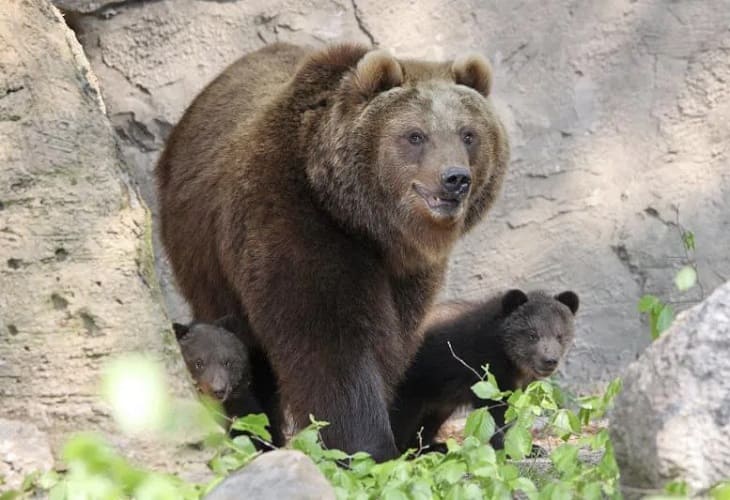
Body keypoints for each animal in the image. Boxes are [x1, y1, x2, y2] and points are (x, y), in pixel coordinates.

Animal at [155, 43, 506, 460]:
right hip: (203, 251)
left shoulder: (409, 273)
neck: (368, 224)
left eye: (468, 134)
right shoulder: (295, 221)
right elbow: (330, 340)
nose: (455, 178)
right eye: (415, 135)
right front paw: (366, 444)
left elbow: (391, 343)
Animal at [390, 288, 576, 456]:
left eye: (559, 336)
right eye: (532, 334)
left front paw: (534, 448)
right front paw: (511, 448)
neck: (512, 361)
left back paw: (435, 447)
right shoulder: (486, 366)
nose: (550, 360)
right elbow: (496, 409)